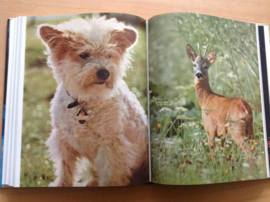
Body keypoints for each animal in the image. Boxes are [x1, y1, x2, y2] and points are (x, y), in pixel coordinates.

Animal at [37, 16, 148, 187]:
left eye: (109, 55)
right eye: (84, 55)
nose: (104, 73)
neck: (85, 101)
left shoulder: (112, 147)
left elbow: (110, 177)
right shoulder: (64, 141)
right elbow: (65, 170)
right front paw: (61, 185)